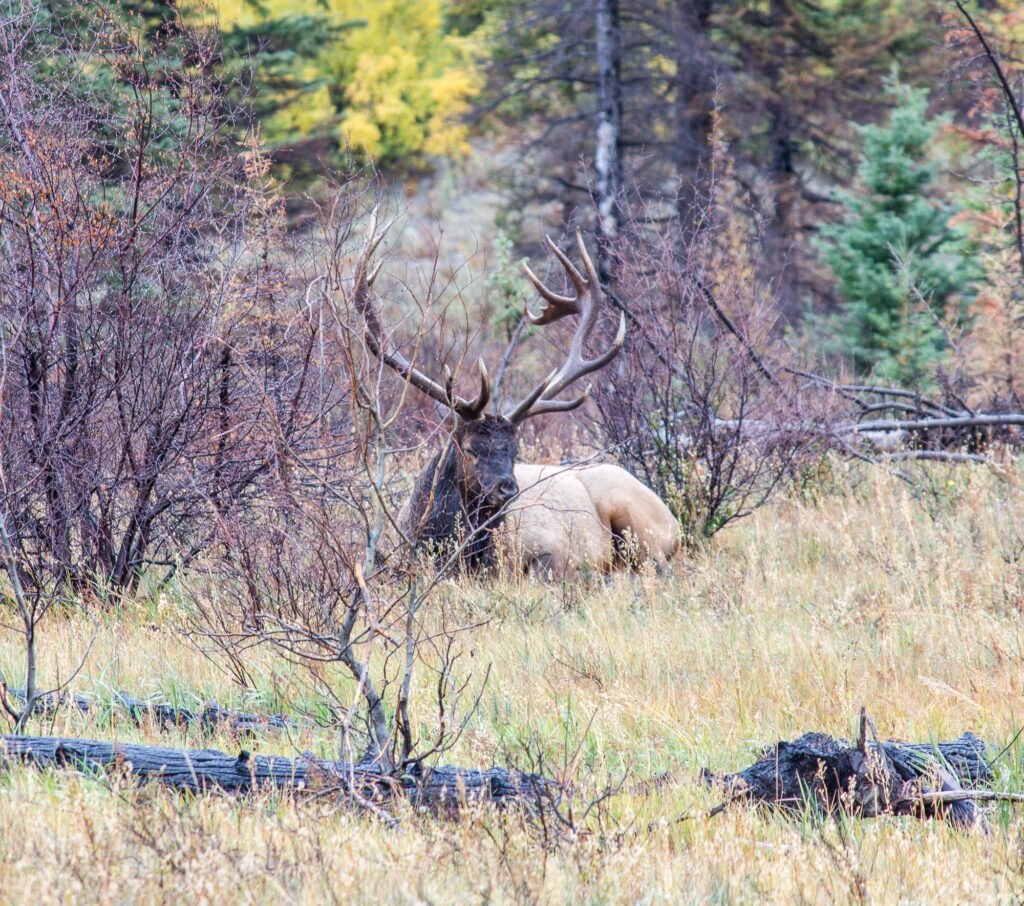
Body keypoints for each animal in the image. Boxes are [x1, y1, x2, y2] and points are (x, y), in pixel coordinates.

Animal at [349, 214, 677, 575]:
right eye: (471, 449)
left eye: (515, 449)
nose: (507, 488)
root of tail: (673, 520)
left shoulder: (549, 549)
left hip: (636, 518)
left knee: (658, 566)